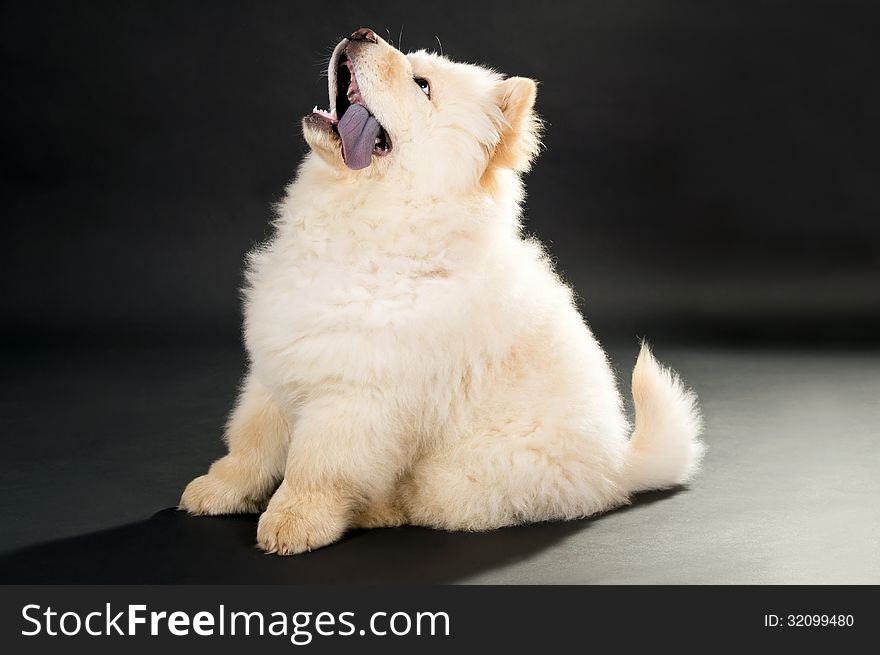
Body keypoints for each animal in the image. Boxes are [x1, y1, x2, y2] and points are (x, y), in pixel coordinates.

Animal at [180, 28, 708, 556]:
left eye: (422, 85)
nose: (361, 32)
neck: (364, 222)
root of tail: (617, 468)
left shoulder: (356, 396)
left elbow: (316, 467)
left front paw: (291, 522)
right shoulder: (278, 365)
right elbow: (250, 442)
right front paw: (216, 491)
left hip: (460, 470)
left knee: (421, 501)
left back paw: (374, 511)